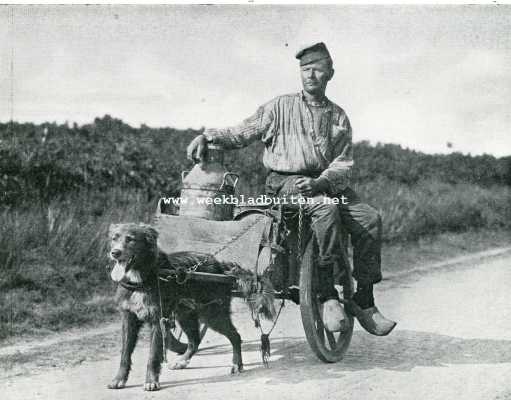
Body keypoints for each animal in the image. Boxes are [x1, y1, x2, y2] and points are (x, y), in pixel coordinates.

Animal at [106, 222, 274, 390]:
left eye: (130, 239)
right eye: (114, 238)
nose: (115, 253)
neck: (141, 280)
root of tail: (220, 266)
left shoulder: (159, 320)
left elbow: (153, 355)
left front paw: (151, 380)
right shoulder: (128, 319)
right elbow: (125, 353)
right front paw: (119, 378)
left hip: (212, 315)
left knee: (235, 336)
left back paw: (236, 364)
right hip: (186, 315)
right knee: (195, 341)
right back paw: (182, 361)